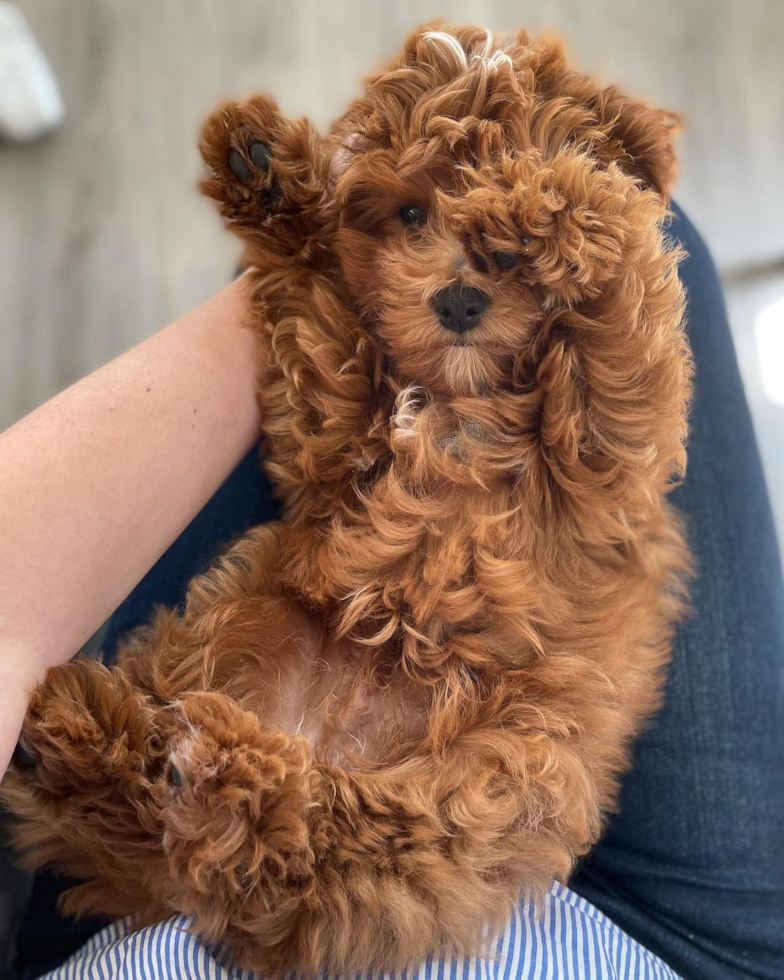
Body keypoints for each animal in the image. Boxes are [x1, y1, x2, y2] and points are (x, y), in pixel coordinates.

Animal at [6, 21, 692, 972]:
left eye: (496, 255)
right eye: (410, 215)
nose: (458, 298)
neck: (469, 397)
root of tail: (317, 743)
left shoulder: (609, 452)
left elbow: (621, 313)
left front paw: (555, 196)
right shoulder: (332, 439)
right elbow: (323, 314)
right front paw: (268, 174)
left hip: (483, 784)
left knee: (301, 851)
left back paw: (207, 771)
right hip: (245, 615)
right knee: (197, 838)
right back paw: (100, 743)